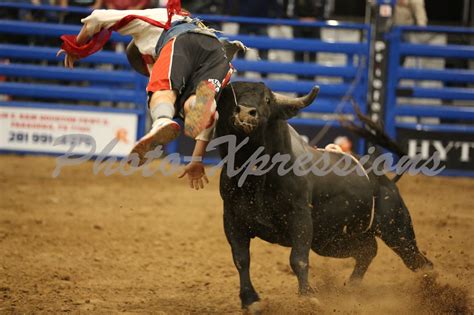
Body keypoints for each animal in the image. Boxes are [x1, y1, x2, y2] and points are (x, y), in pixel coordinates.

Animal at [215, 81, 434, 312]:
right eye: (230, 96)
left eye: (267, 99)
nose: (245, 112)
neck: (257, 176)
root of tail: (386, 181)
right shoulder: (232, 219)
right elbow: (241, 259)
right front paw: (250, 300)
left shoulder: (300, 218)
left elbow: (298, 259)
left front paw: (306, 297)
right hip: (331, 240)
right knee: (368, 250)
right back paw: (352, 288)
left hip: (397, 229)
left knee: (418, 262)